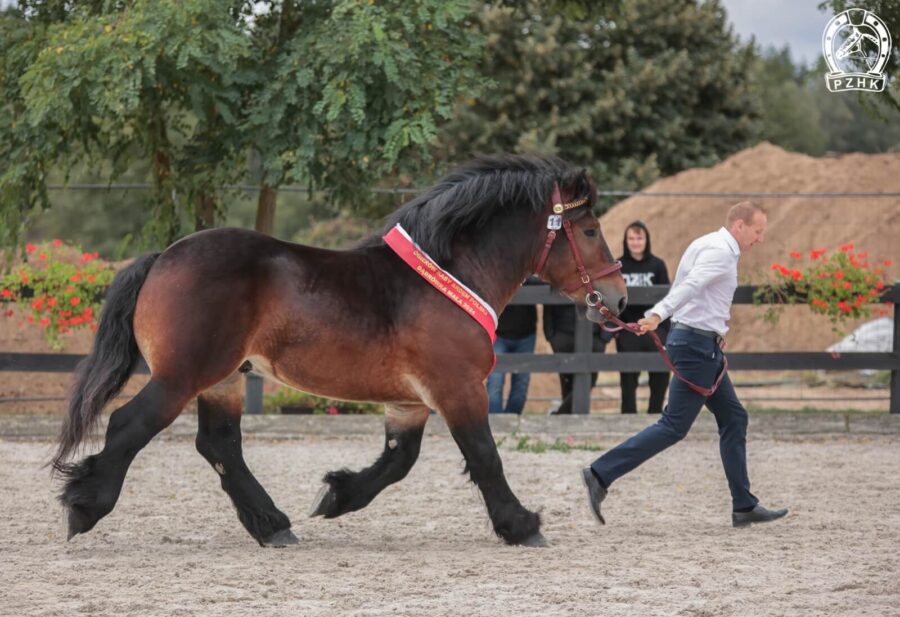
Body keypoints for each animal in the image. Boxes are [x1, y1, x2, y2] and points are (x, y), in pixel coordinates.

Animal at [49, 156, 624, 548]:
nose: (617, 299)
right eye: (591, 229)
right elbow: (485, 456)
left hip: (222, 379)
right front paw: (522, 525)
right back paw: (84, 507)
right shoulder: (458, 389)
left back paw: (273, 526)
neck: (448, 276)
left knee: (219, 446)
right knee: (130, 424)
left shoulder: (410, 401)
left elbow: (397, 462)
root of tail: (164, 257)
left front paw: (336, 496)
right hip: (182, 376)